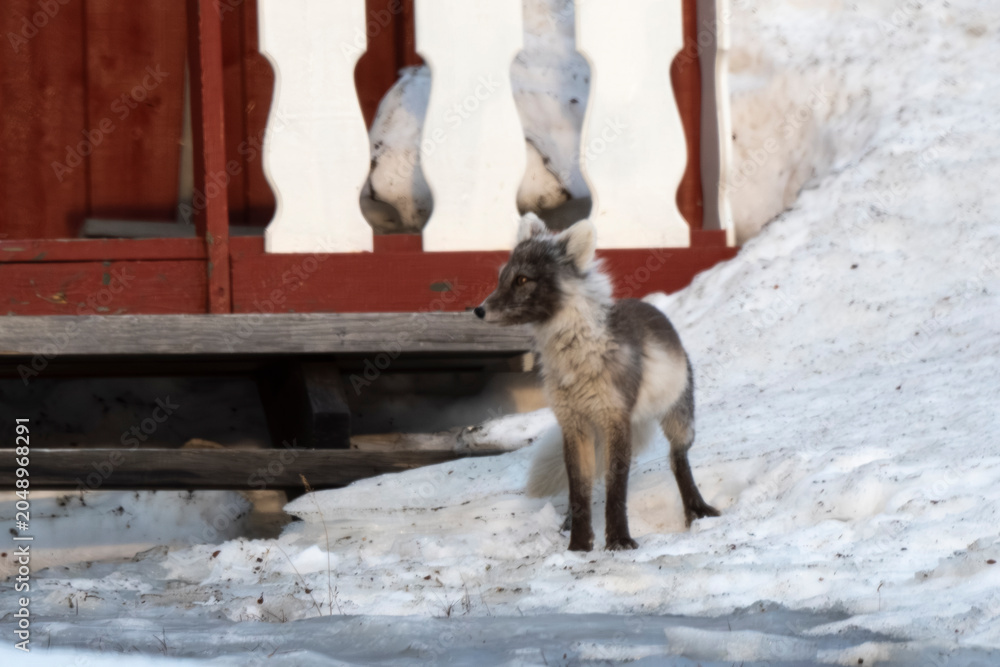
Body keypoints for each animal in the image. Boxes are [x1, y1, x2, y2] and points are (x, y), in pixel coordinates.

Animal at [474, 213, 719, 551]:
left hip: (679, 422)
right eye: (502, 278)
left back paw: (695, 509)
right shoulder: (573, 424)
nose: (478, 310)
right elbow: (579, 490)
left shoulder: (615, 420)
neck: (574, 359)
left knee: (677, 461)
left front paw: (618, 541)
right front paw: (578, 546)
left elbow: (616, 489)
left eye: (522, 280)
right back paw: (566, 525)